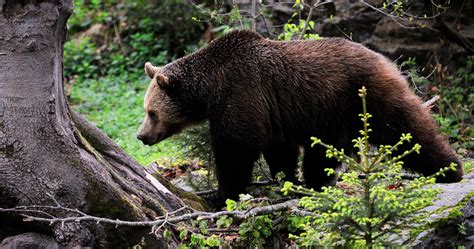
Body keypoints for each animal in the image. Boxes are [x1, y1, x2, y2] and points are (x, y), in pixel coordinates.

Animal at [137, 29, 462, 202]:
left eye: (152, 112)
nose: (141, 136)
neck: (209, 89)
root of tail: (385, 59)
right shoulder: (273, 111)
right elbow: (279, 150)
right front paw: (285, 180)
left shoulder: (241, 93)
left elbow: (236, 147)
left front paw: (224, 192)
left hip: (360, 96)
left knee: (406, 126)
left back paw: (450, 168)